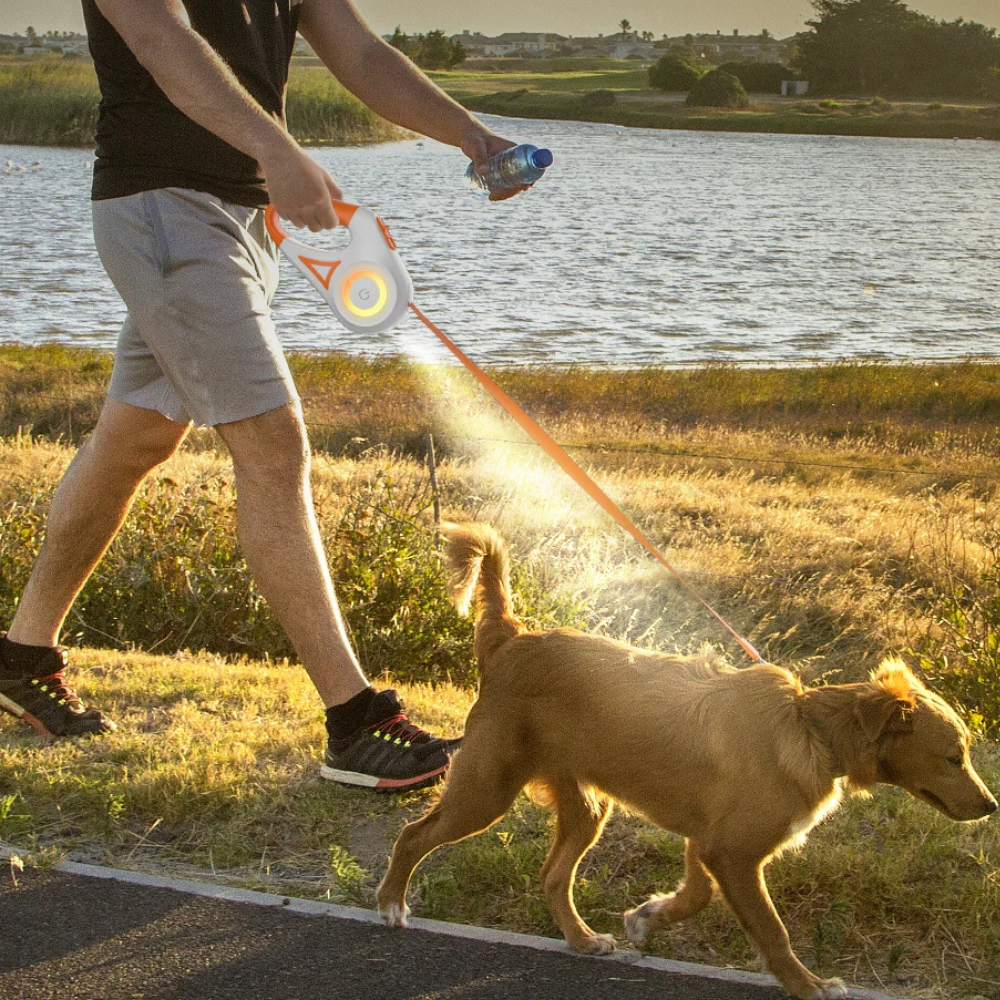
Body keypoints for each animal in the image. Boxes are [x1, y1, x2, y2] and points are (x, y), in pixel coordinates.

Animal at [378, 524, 996, 1000]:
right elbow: (772, 931)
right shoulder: (733, 852)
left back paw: (582, 939)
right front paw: (809, 985)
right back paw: (391, 905)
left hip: (585, 807)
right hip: (487, 787)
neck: (810, 729)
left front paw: (647, 916)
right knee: (413, 834)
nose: (991, 806)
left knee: (553, 877)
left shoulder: (708, 841)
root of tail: (511, 640)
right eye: (953, 757)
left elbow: (696, 896)